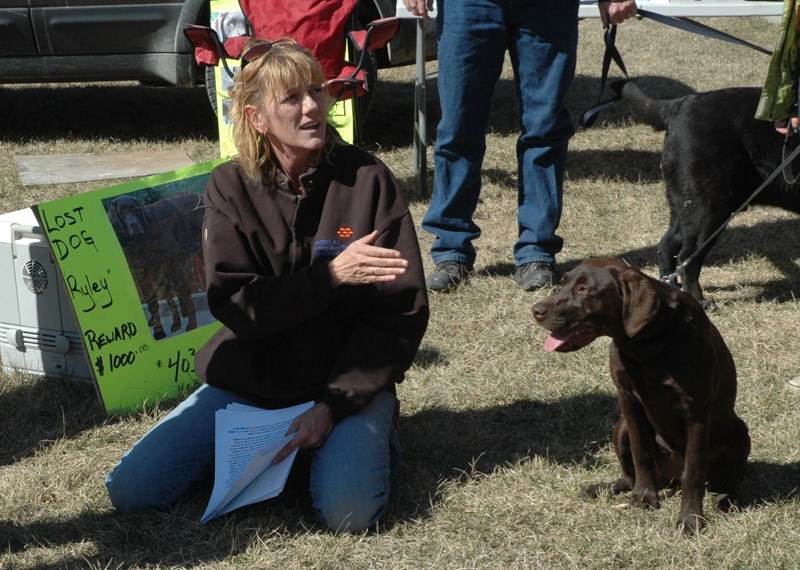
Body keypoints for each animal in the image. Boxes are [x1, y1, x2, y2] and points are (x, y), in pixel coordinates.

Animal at [616, 80, 796, 306]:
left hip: (687, 205)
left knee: (667, 246)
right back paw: (699, 300)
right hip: (709, 210)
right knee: (687, 259)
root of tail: (676, 106)